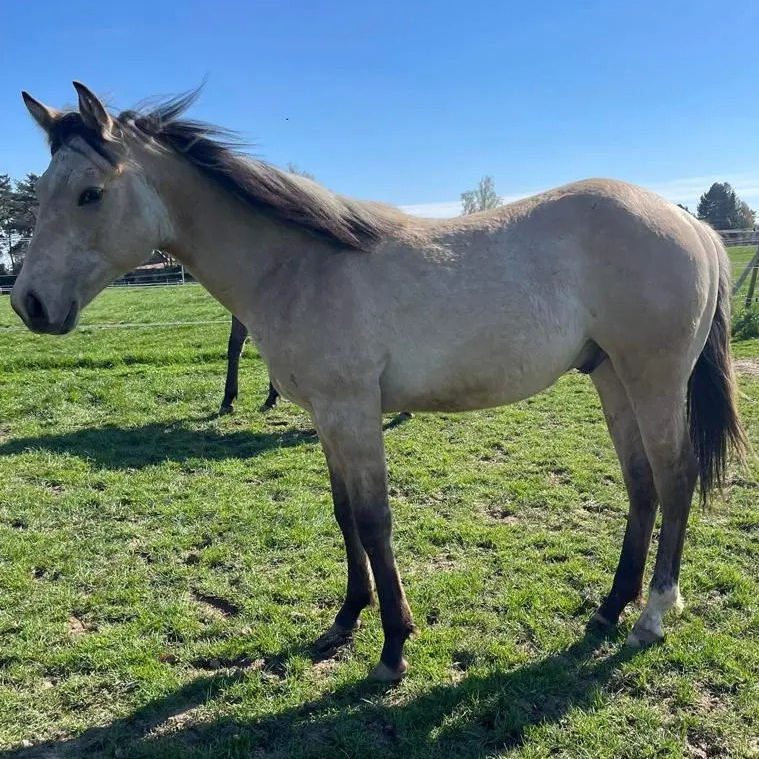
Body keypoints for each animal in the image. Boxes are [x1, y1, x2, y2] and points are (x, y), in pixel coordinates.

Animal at [12, 82, 746, 681]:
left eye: (90, 193)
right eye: (42, 193)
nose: (29, 304)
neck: (299, 263)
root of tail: (694, 226)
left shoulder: (353, 411)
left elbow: (374, 520)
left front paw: (393, 646)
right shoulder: (326, 417)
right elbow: (344, 516)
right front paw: (344, 620)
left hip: (653, 380)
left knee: (675, 478)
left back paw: (653, 614)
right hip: (611, 376)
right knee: (641, 485)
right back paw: (609, 608)